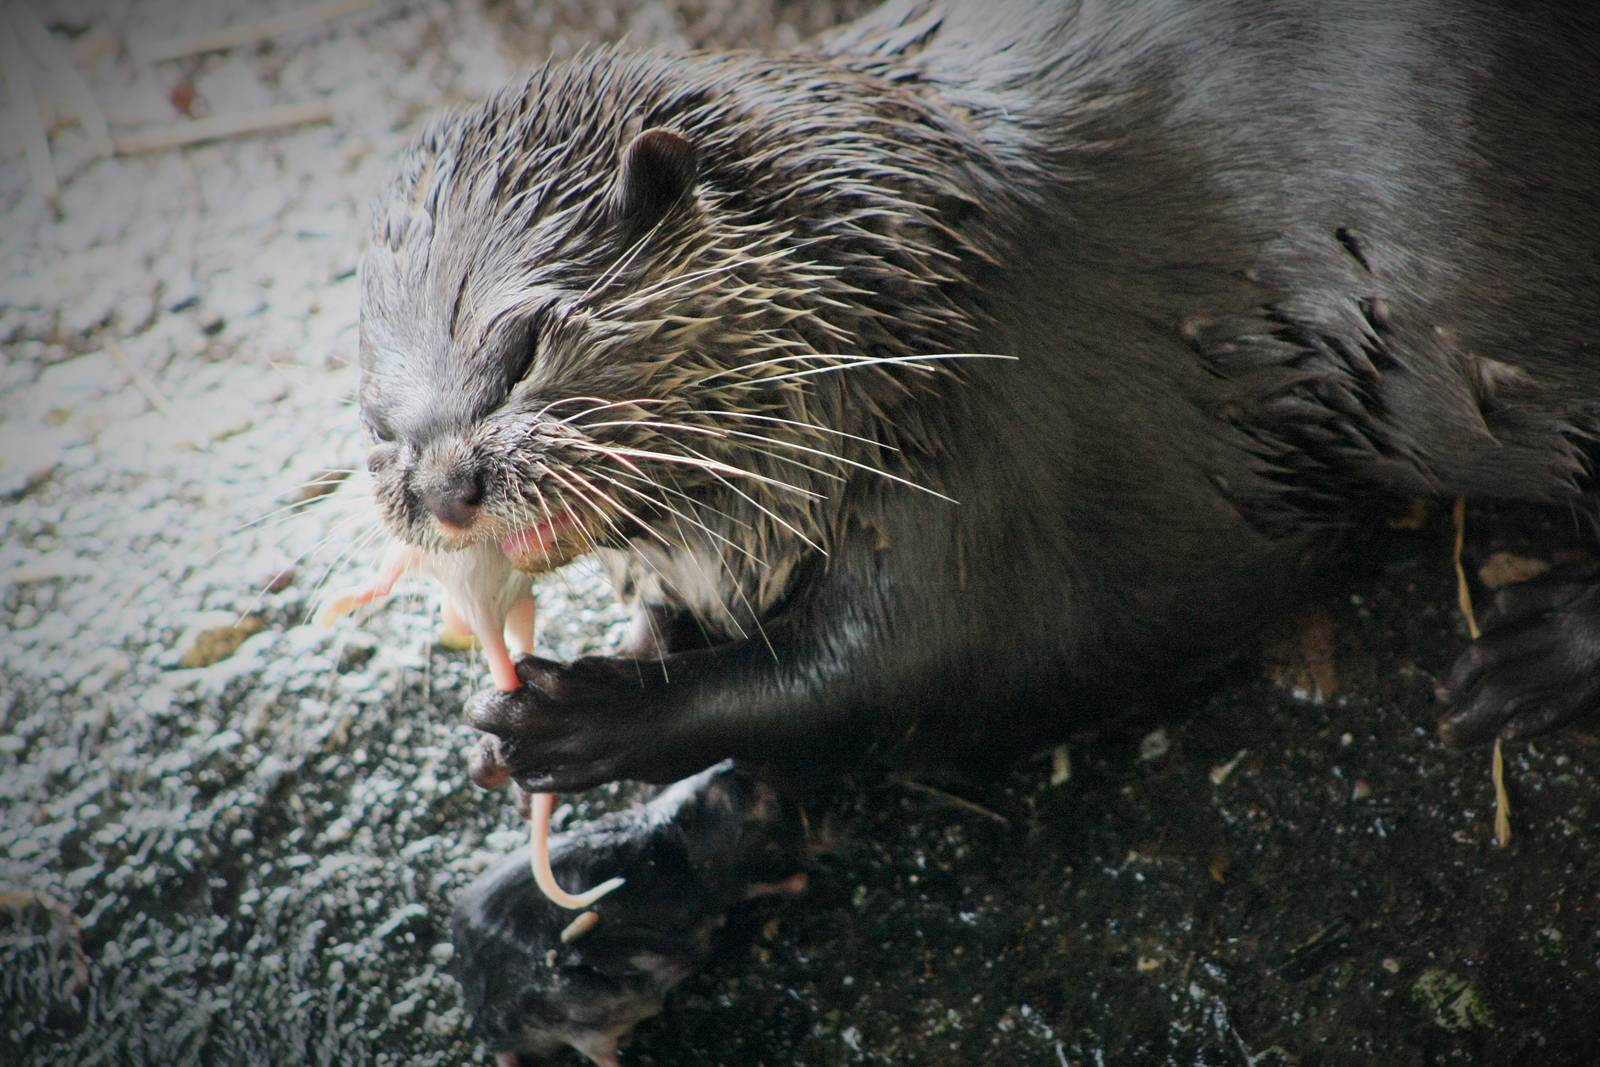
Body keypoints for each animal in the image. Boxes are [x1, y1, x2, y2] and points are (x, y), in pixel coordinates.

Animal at [356, 0, 1600, 797]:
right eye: (375, 416)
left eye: (519, 343)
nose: (443, 484)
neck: (900, 310)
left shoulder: (991, 465)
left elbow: (921, 671)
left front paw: (580, 714)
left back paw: (1529, 653)